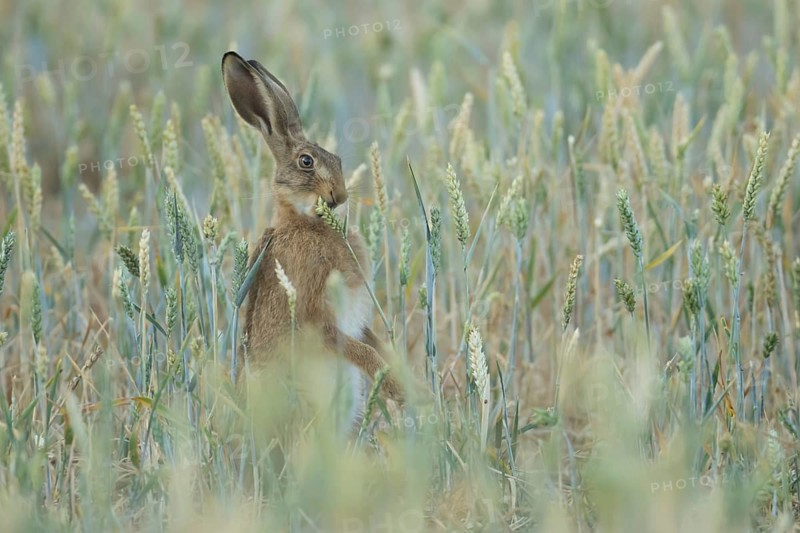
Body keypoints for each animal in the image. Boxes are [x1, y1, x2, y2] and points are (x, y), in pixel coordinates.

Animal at [221, 51, 404, 426]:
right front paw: (394, 386)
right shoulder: (314, 313)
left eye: (337, 160)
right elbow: (354, 346)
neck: (304, 222)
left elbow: (369, 338)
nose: (340, 195)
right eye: (307, 162)